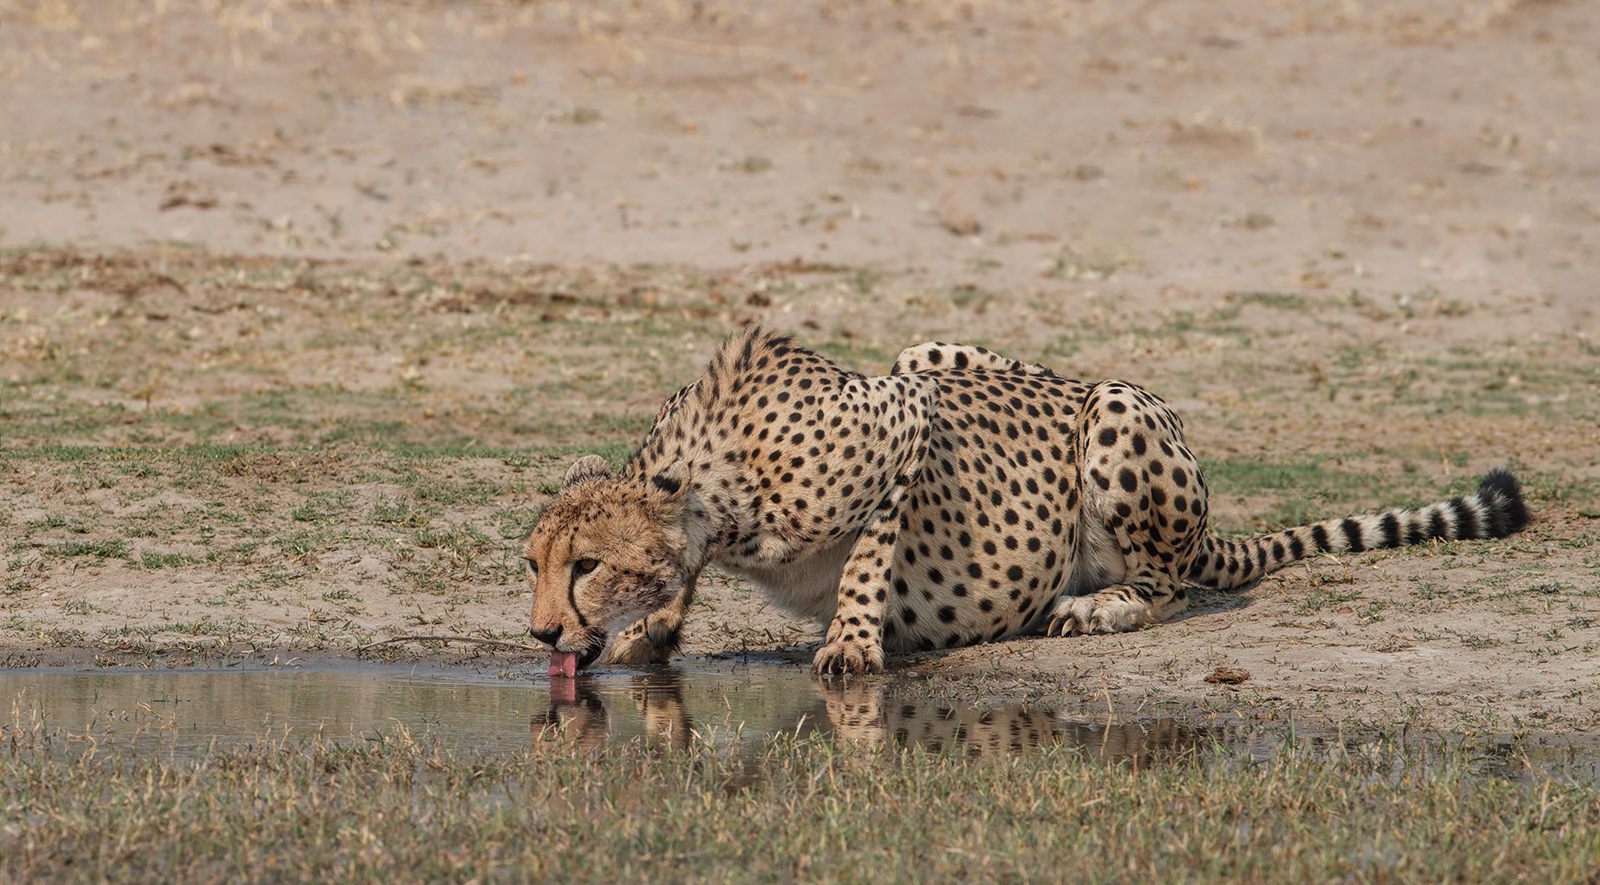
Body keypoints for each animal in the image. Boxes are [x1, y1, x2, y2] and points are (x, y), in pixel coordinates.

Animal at [522, 326, 1529, 676]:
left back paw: (1094, 606)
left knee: (1169, 588)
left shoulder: (903, 419)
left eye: (587, 565)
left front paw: (851, 642)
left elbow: (868, 557)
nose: (537, 632)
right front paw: (656, 631)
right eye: (532, 563)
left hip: (1109, 406)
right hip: (928, 347)